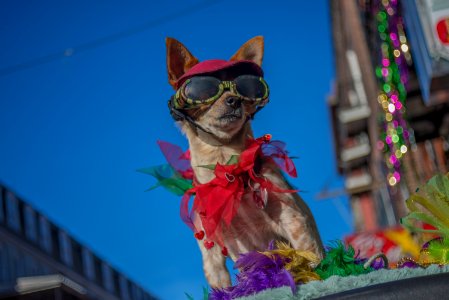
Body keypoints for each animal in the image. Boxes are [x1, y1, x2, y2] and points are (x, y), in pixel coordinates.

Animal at [164, 36, 322, 288]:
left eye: (245, 88)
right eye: (203, 89)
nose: (234, 100)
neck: (227, 170)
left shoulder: (293, 220)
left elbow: (310, 262)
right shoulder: (211, 249)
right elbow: (221, 283)